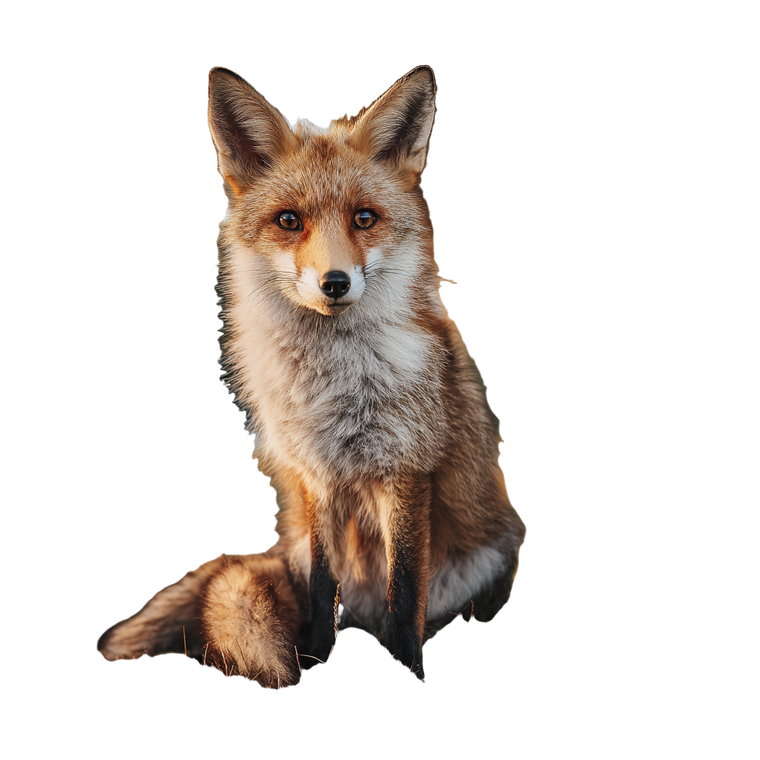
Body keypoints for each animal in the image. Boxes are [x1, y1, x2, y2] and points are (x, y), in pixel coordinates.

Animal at [96, 65, 526, 688]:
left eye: (364, 219)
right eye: (289, 221)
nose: (335, 282)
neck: (335, 388)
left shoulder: (404, 473)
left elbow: (404, 600)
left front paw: (409, 670)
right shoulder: (315, 477)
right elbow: (325, 594)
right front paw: (317, 661)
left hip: (491, 554)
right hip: (298, 544)